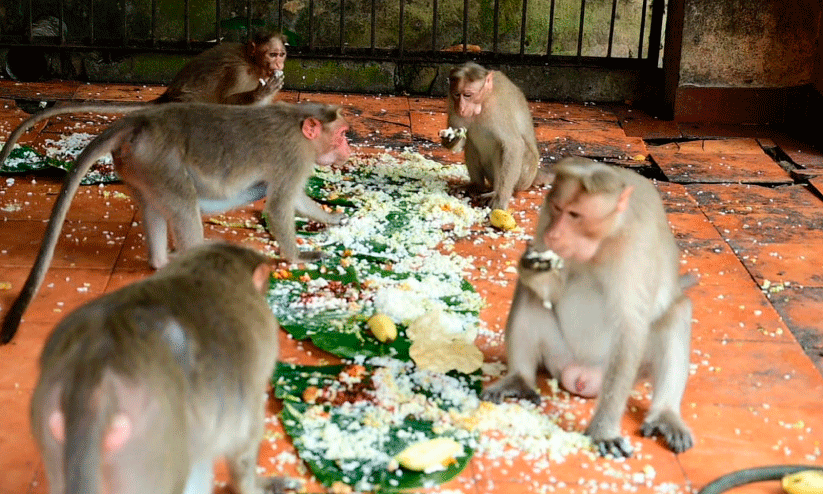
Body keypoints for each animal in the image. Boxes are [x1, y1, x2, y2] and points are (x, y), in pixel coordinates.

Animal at [0, 30, 290, 166]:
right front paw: (261, 92)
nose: (279, 63)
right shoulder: (239, 73)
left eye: (281, 54)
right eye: (272, 54)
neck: (253, 64)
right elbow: (228, 101)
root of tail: (168, 95)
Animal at [0, 100, 350, 344]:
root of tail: (140, 120)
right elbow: (278, 207)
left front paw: (334, 218)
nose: (348, 148)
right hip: (160, 162)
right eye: (342, 135)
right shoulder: (294, 157)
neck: (297, 122)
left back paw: (161, 261)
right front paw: (299, 256)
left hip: (139, 167)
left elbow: (296, 201)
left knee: (156, 207)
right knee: (184, 204)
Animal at [440, 61, 544, 210]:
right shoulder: (451, 103)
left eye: (467, 95)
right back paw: (476, 186)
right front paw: (452, 139)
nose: (461, 108)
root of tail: (534, 175)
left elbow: (514, 145)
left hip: (524, 175)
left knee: (503, 148)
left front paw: (500, 198)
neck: (483, 101)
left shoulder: (498, 109)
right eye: (456, 94)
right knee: (471, 143)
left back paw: (495, 192)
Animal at [482, 156, 696, 458]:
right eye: (557, 208)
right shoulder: (544, 220)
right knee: (528, 293)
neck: (602, 243)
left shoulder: (636, 248)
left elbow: (630, 328)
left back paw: (665, 414)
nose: (554, 233)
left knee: (677, 311)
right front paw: (531, 267)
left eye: (575, 215)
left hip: (627, 372)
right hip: (558, 355)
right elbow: (550, 291)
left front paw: (603, 430)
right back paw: (519, 378)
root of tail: (581, 375)